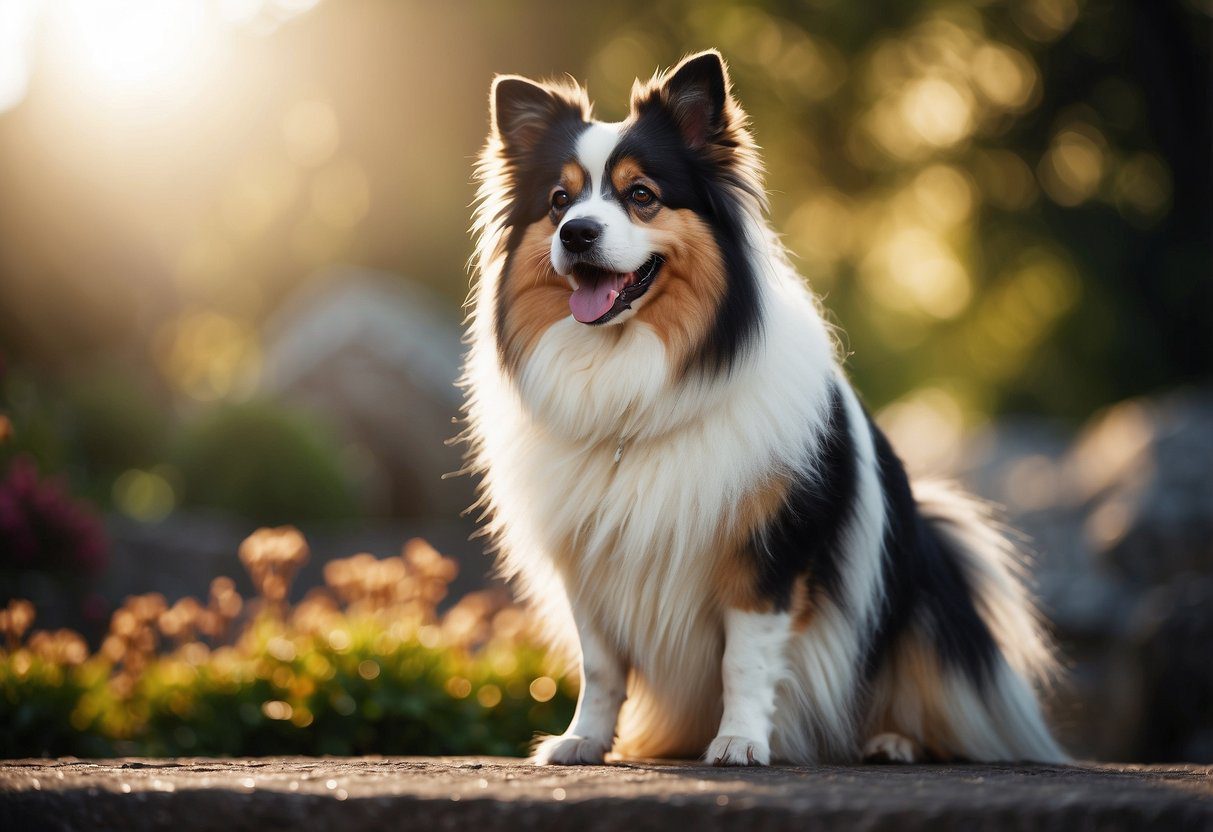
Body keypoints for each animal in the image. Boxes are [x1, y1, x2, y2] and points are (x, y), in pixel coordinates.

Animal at [458, 50, 1067, 771]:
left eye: (642, 195)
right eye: (559, 201)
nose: (577, 233)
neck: (637, 388)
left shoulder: (766, 553)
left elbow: (743, 661)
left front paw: (740, 741)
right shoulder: (591, 562)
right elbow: (601, 666)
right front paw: (584, 740)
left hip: (925, 589)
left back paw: (891, 741)